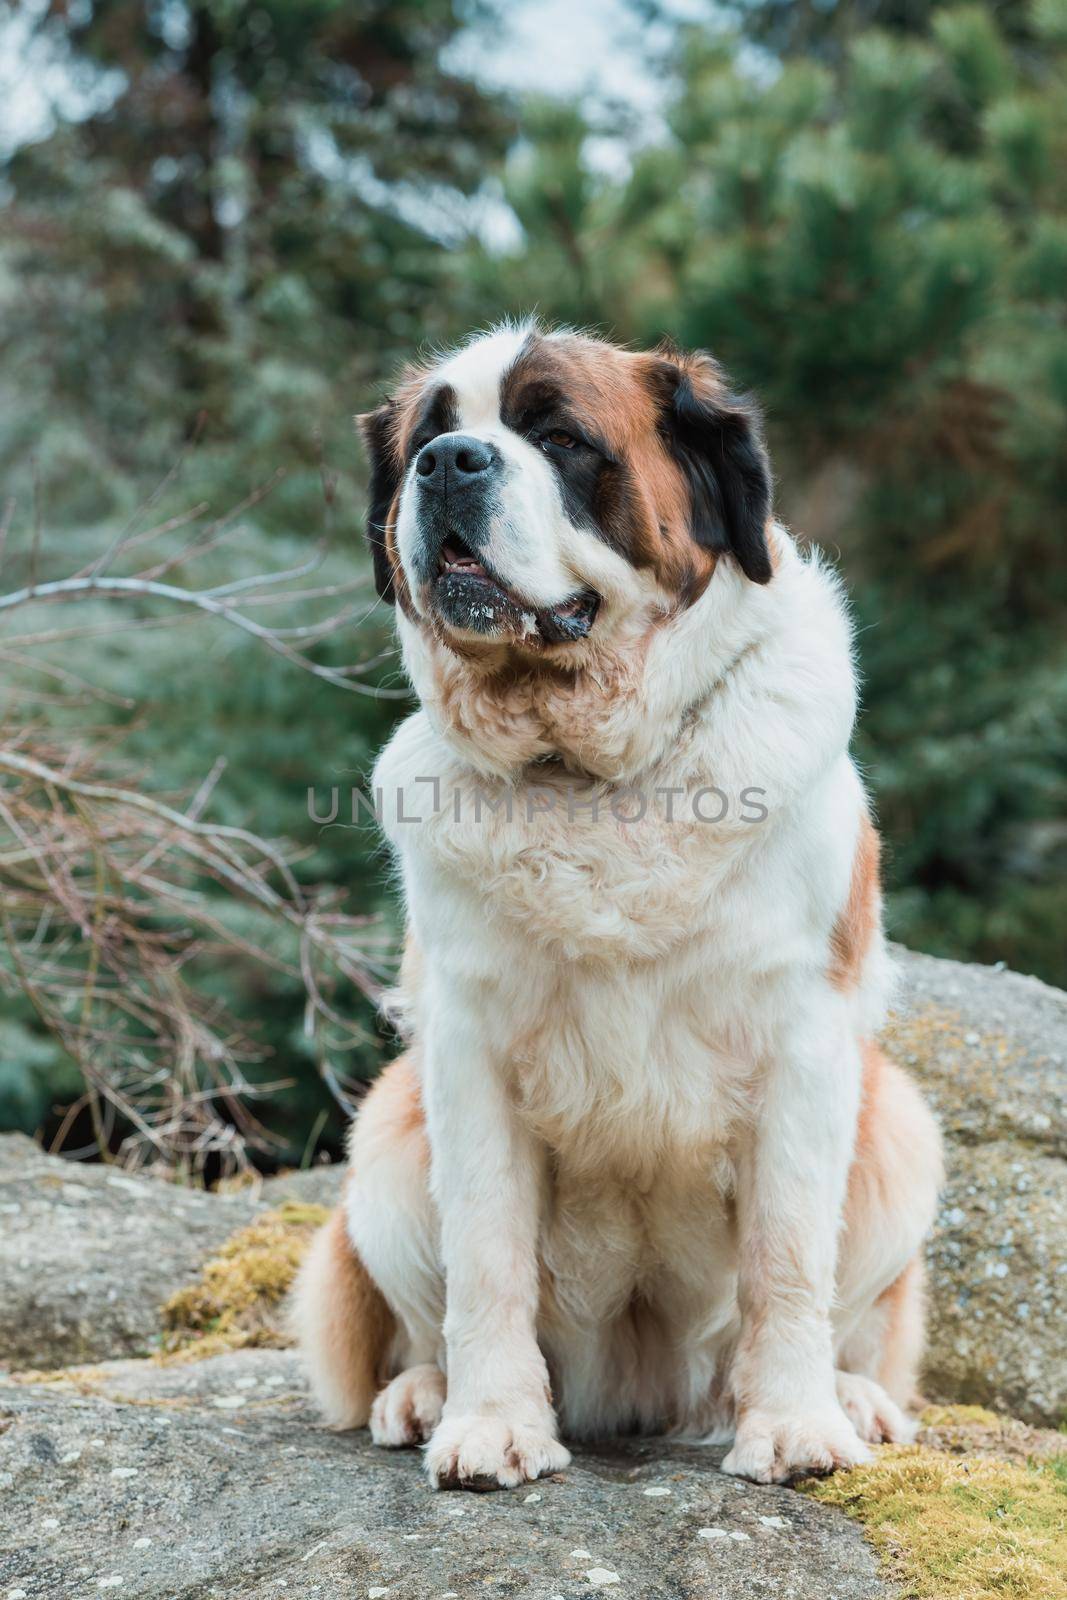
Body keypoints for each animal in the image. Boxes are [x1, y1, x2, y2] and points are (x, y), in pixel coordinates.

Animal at [292, 318, 940, 1491]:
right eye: (425, 439)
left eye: (558, 438)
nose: (448, 464)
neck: (591, 776)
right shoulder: (466, 1055)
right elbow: (487, 1257)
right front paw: (492, 1423)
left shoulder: (805, 1044)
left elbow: (787, 1255)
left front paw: (795, 1424)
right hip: (386, 1143)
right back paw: (423, 1394)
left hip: (901, 1125)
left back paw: (852, 1399)